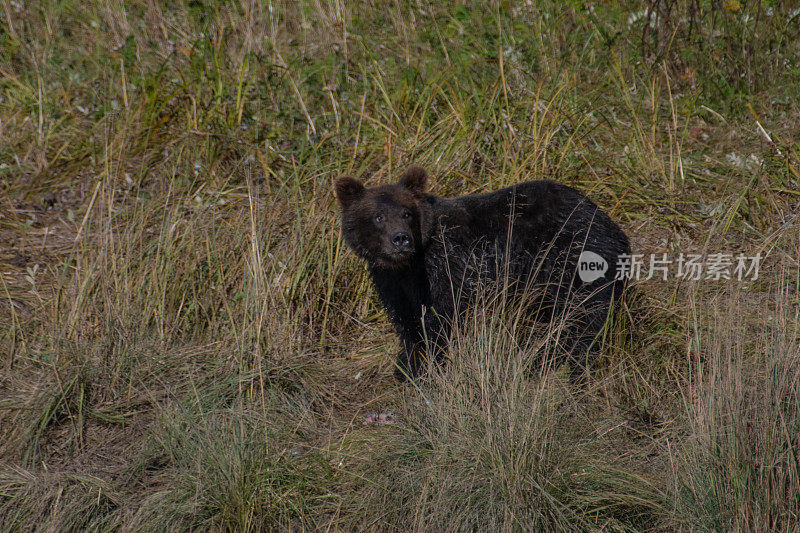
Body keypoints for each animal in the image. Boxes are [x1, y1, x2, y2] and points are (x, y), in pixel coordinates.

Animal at [334, 166, 628, 378]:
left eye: (407, 213)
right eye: (378, 217)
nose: (400, 239)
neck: (409, 265)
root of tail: (609, 222)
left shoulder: (449, 267)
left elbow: (444, 318)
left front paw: (434, 367)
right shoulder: (392, 283)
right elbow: (408, 323)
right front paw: (411, 367)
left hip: (573, 256)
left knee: (584, 315)